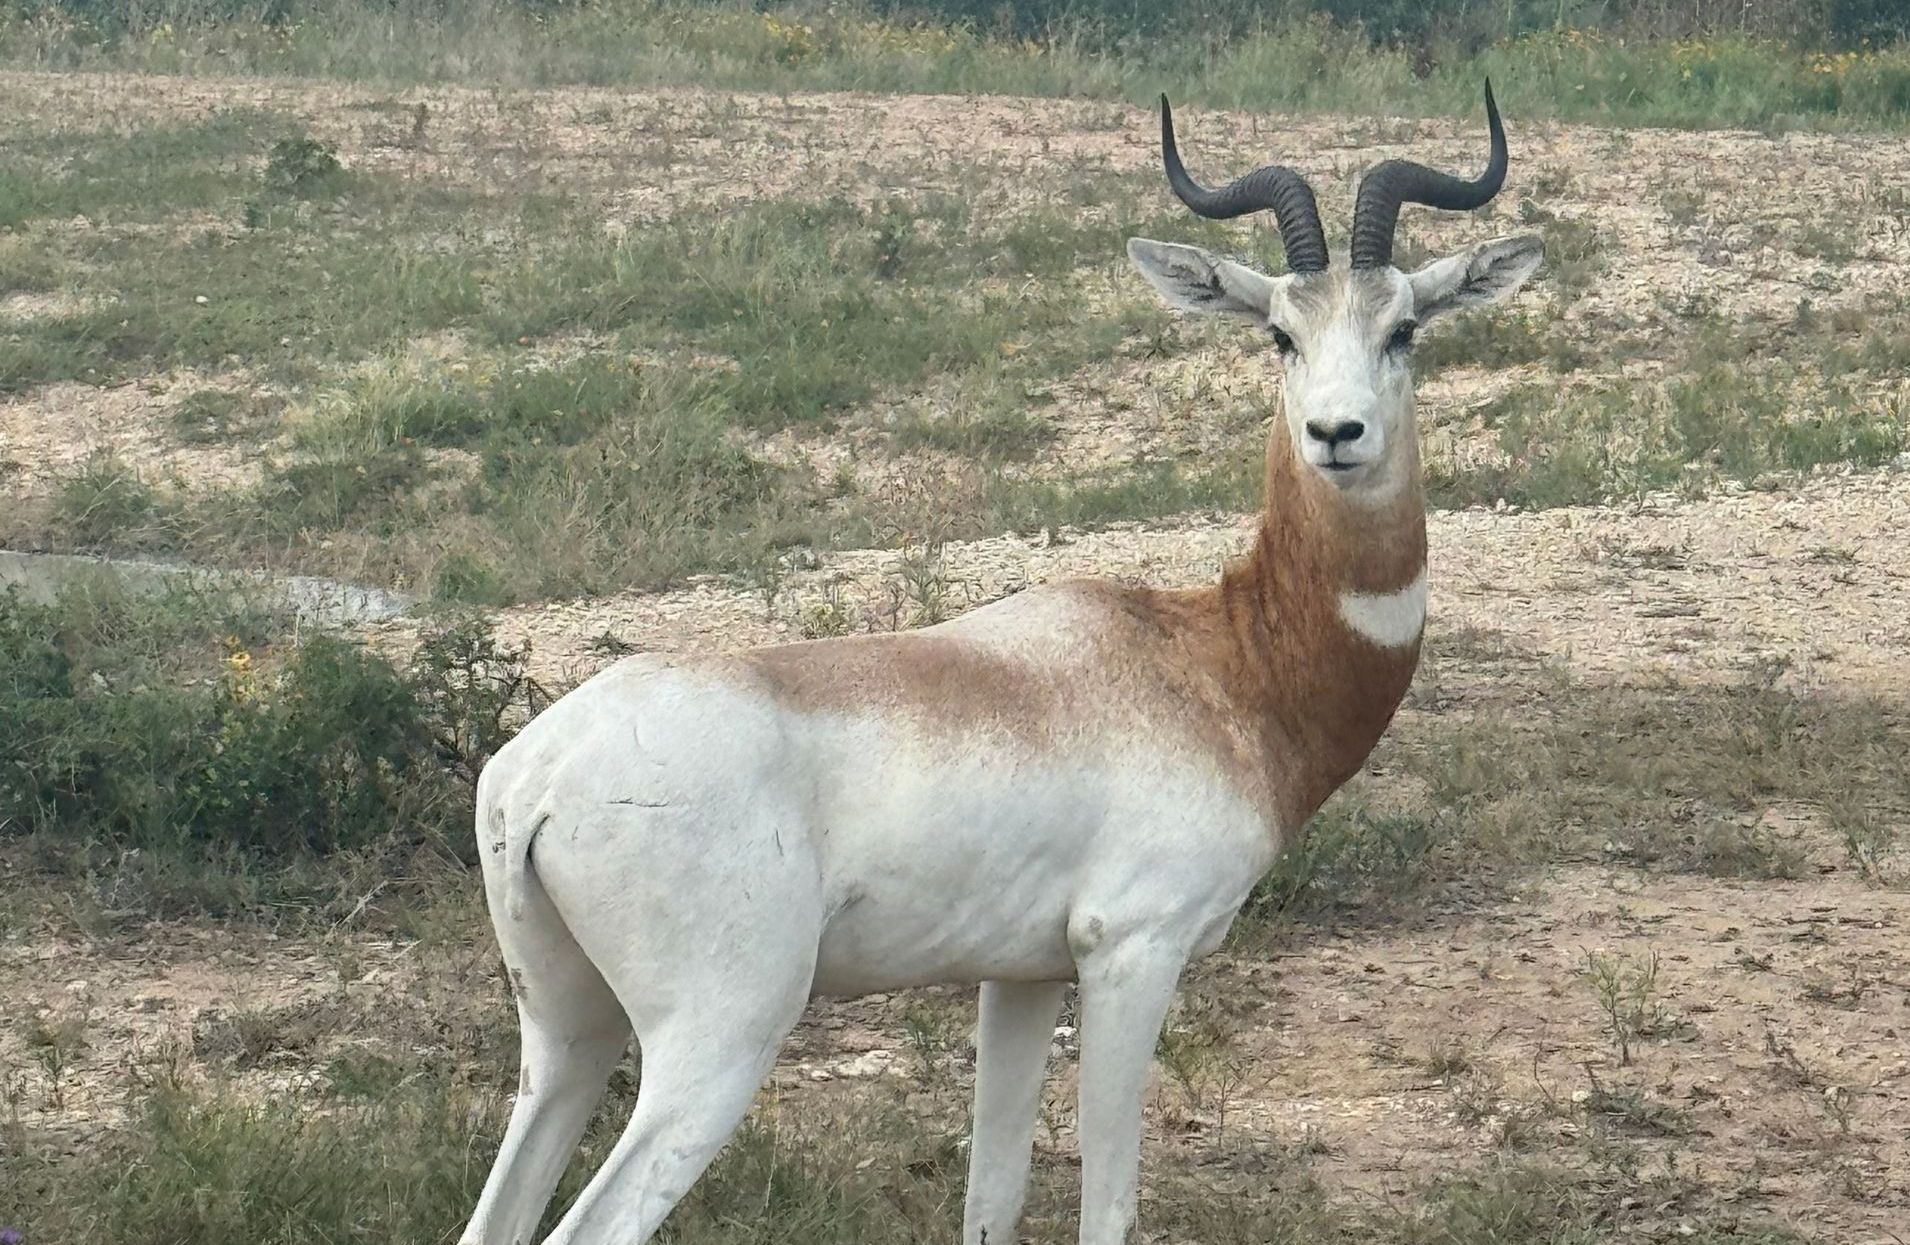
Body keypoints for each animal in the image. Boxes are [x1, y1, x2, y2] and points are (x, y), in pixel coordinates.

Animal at [461, 83, 1542, 1245]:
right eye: (1278, 332)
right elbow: (1106, 1201)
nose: (1336, 433)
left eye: (1404, 327)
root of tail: (537, 778)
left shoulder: (1017, 977)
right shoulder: (1131, 953)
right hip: (717, 1042)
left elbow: (992, 1196)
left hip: (568, 1040)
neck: (1212, 661)